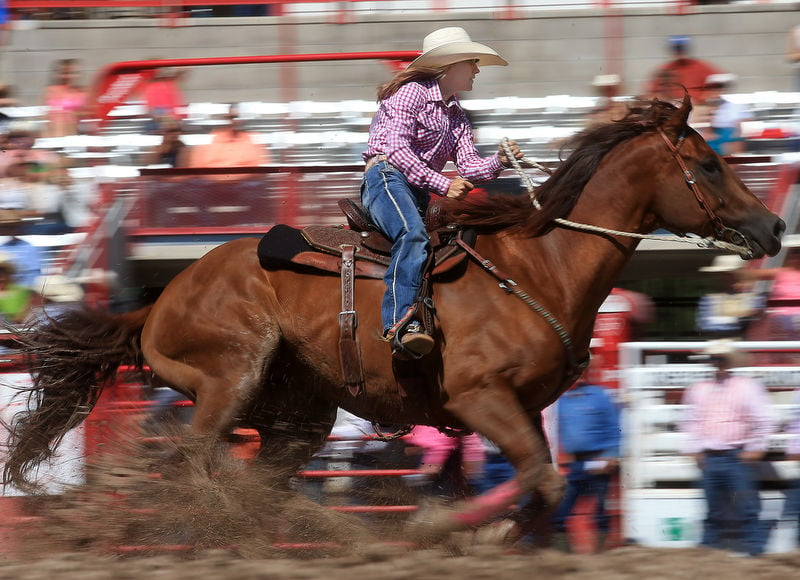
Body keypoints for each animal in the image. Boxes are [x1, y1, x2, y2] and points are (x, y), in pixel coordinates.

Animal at [3, 95, 784, 544]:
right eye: (708, 164)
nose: (774, 227)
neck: (542, 266)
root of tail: (160, 298)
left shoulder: (521, 407)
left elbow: (544, 482)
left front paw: (478, 532)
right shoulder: (481, 398)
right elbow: (538, 475)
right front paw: (446, 527)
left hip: (298, 415)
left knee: (251, 476)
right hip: (230, 375)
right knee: (193, 460)